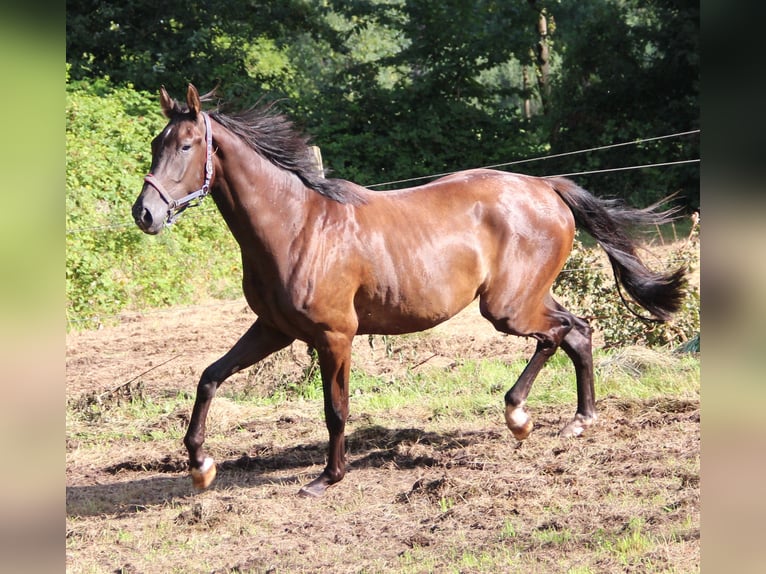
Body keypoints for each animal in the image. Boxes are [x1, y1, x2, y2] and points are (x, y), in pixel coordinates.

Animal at [129, 85, 688, 500]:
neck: (296, 226)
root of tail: (547, 187)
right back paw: (577, 421)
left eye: (185, 146)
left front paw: (327, 478)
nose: (145, 214)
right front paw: (200, 466)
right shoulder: (273, 330)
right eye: (156, 143)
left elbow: (335, 409)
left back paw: (520, 416)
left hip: (508, 308)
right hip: (524, 298)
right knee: (578, 332)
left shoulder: (335, 336)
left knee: (558, 335)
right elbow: (209, 378)